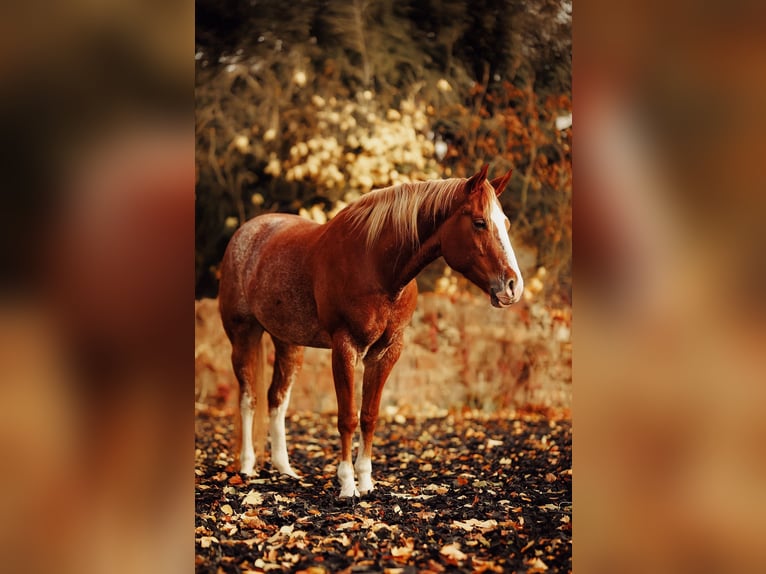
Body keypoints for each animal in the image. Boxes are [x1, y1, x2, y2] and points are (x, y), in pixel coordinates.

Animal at [218, 164, 524, 497]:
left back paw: (285, 470)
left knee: (277, 399)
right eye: (480, 223)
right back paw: (247, 467)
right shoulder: (345, 347)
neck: (376, 265)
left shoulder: (387, 351)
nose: (513, 286)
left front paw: (365, 482)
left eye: (506, 223)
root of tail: (247, 233)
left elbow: (370, 415)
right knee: (249, 399)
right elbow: (348, 418)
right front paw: (346, 485)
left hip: (288, 343)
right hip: (243, 337)